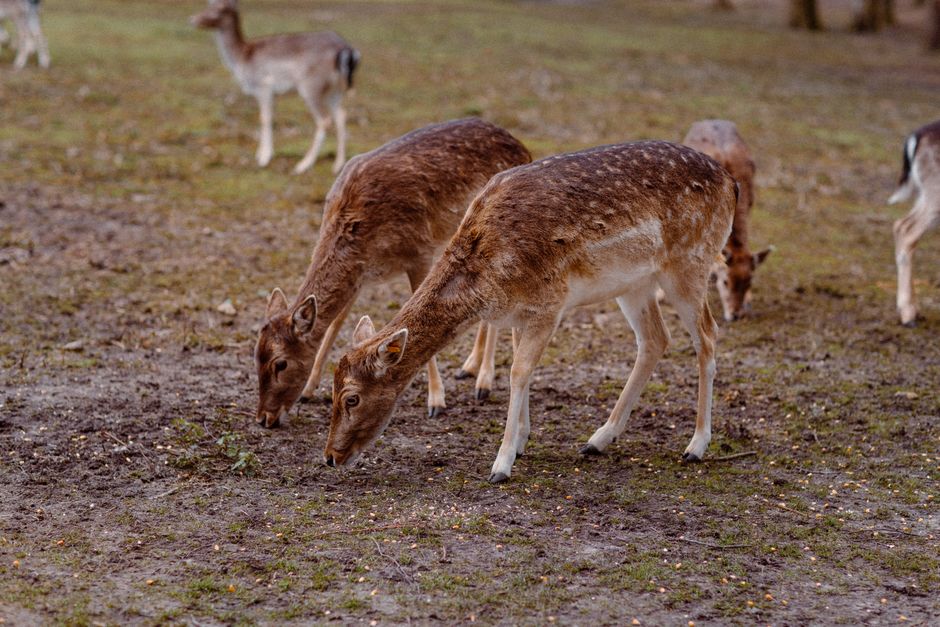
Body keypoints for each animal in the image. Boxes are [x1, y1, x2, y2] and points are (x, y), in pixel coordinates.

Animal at [191, 0, 359, 175]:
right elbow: (269, 116)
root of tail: (346, 49)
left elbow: (264, 118)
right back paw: (338, 164)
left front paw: (264, 158)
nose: (193, 19)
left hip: (311, 86)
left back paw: (303, 165)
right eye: (209, 5)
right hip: (335, 90)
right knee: (341, 115)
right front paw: (260, 153)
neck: (242, 58)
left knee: (324, 120)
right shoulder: (273, 94)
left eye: (219, 9)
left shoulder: (263, 86)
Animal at [254, 118, 532, 428]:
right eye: (256, 357)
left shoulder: (419, 251)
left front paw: (436, 402)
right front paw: (310, 390)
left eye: (281, 363)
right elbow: (336, 323)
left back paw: (483, 383)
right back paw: (468, 367)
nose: (264, 418)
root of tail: (523, 147)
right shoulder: (359, 277)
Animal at [324, 141, 737, 483]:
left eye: (351, 398)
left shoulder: (549, 304)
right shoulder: (520, 314)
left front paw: (501, 464)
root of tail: (730, 182)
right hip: (635, 283)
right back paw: (598, 439)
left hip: (689, 263)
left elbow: (519, 372)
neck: (488, 283)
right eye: (331, 390)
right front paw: (522, 441)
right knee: (655, 339)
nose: (329, 457)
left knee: (708, 335)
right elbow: (520, 366)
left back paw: (696, 445)